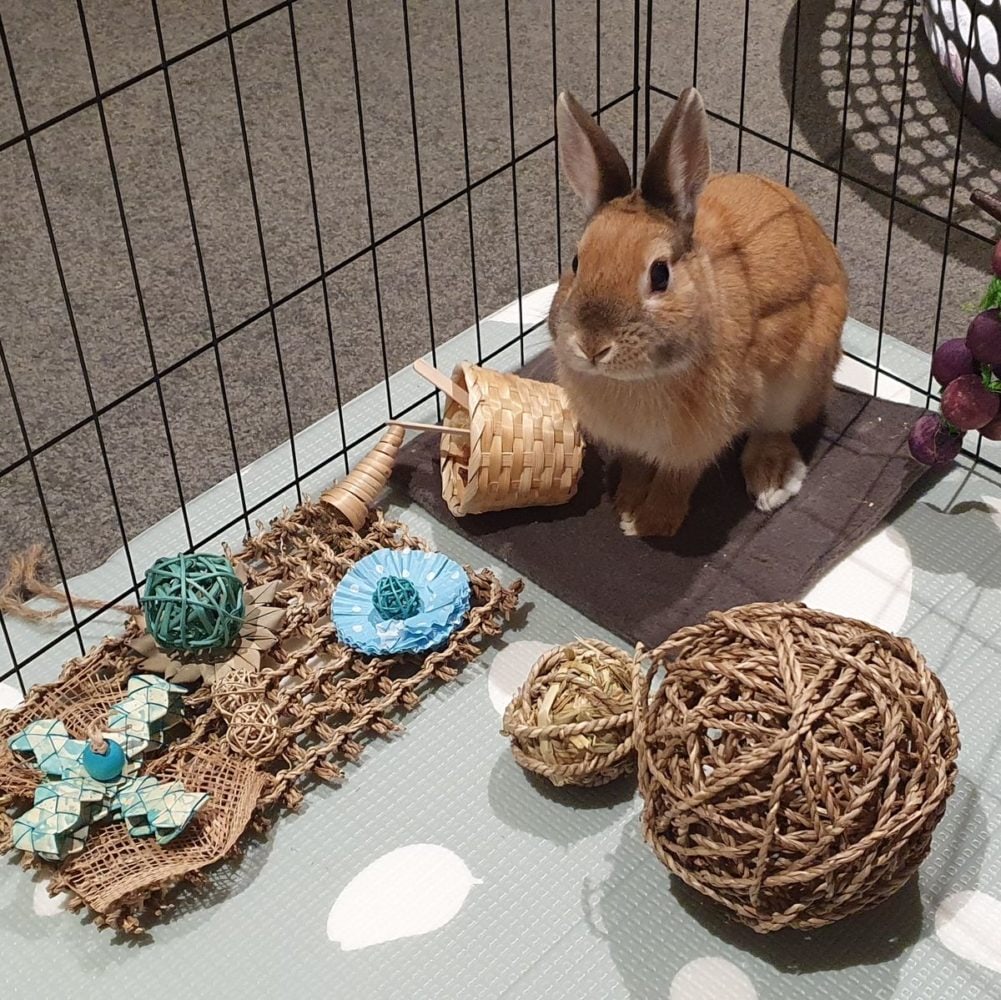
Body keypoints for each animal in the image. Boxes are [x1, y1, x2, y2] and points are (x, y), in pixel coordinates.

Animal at [547, 87, 848, 538]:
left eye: (660, 274)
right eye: (575, 262)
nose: (593, 346)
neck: (636, 380)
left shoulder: (698, 441)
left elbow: (678, 477)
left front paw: (652, 523)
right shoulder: (634, 445)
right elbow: (637, 468)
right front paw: (626, 506)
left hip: (800, 380)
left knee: (775, 429)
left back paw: (773, 480)